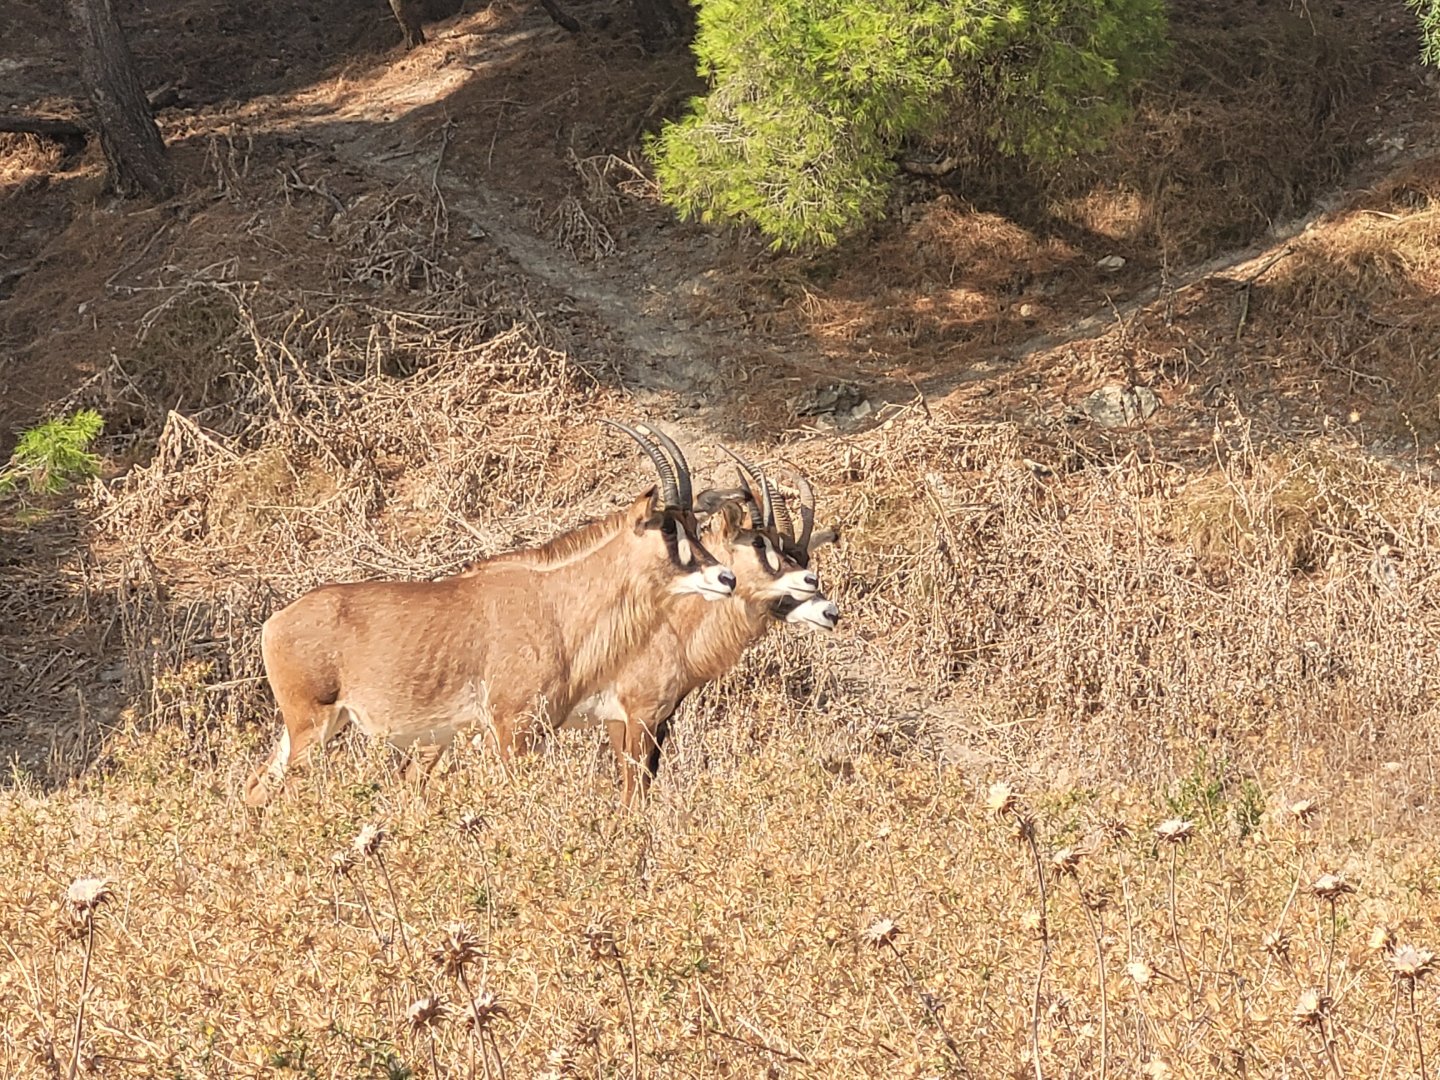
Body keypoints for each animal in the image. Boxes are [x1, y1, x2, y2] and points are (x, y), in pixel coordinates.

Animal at [242, 422, 736, 806]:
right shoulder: (510, 728)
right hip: (311, 726)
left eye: (695, 525)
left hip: (311, 729)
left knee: (257, 787)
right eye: (668, 530)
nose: (726, 578)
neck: (555, 603)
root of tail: (273, 624)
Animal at [566, 448, 840, 805]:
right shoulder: (633, 714)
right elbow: (633, 785)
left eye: (800, 558)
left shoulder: (659, 718)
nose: (830, 612)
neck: (672, 624)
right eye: (759, 546)